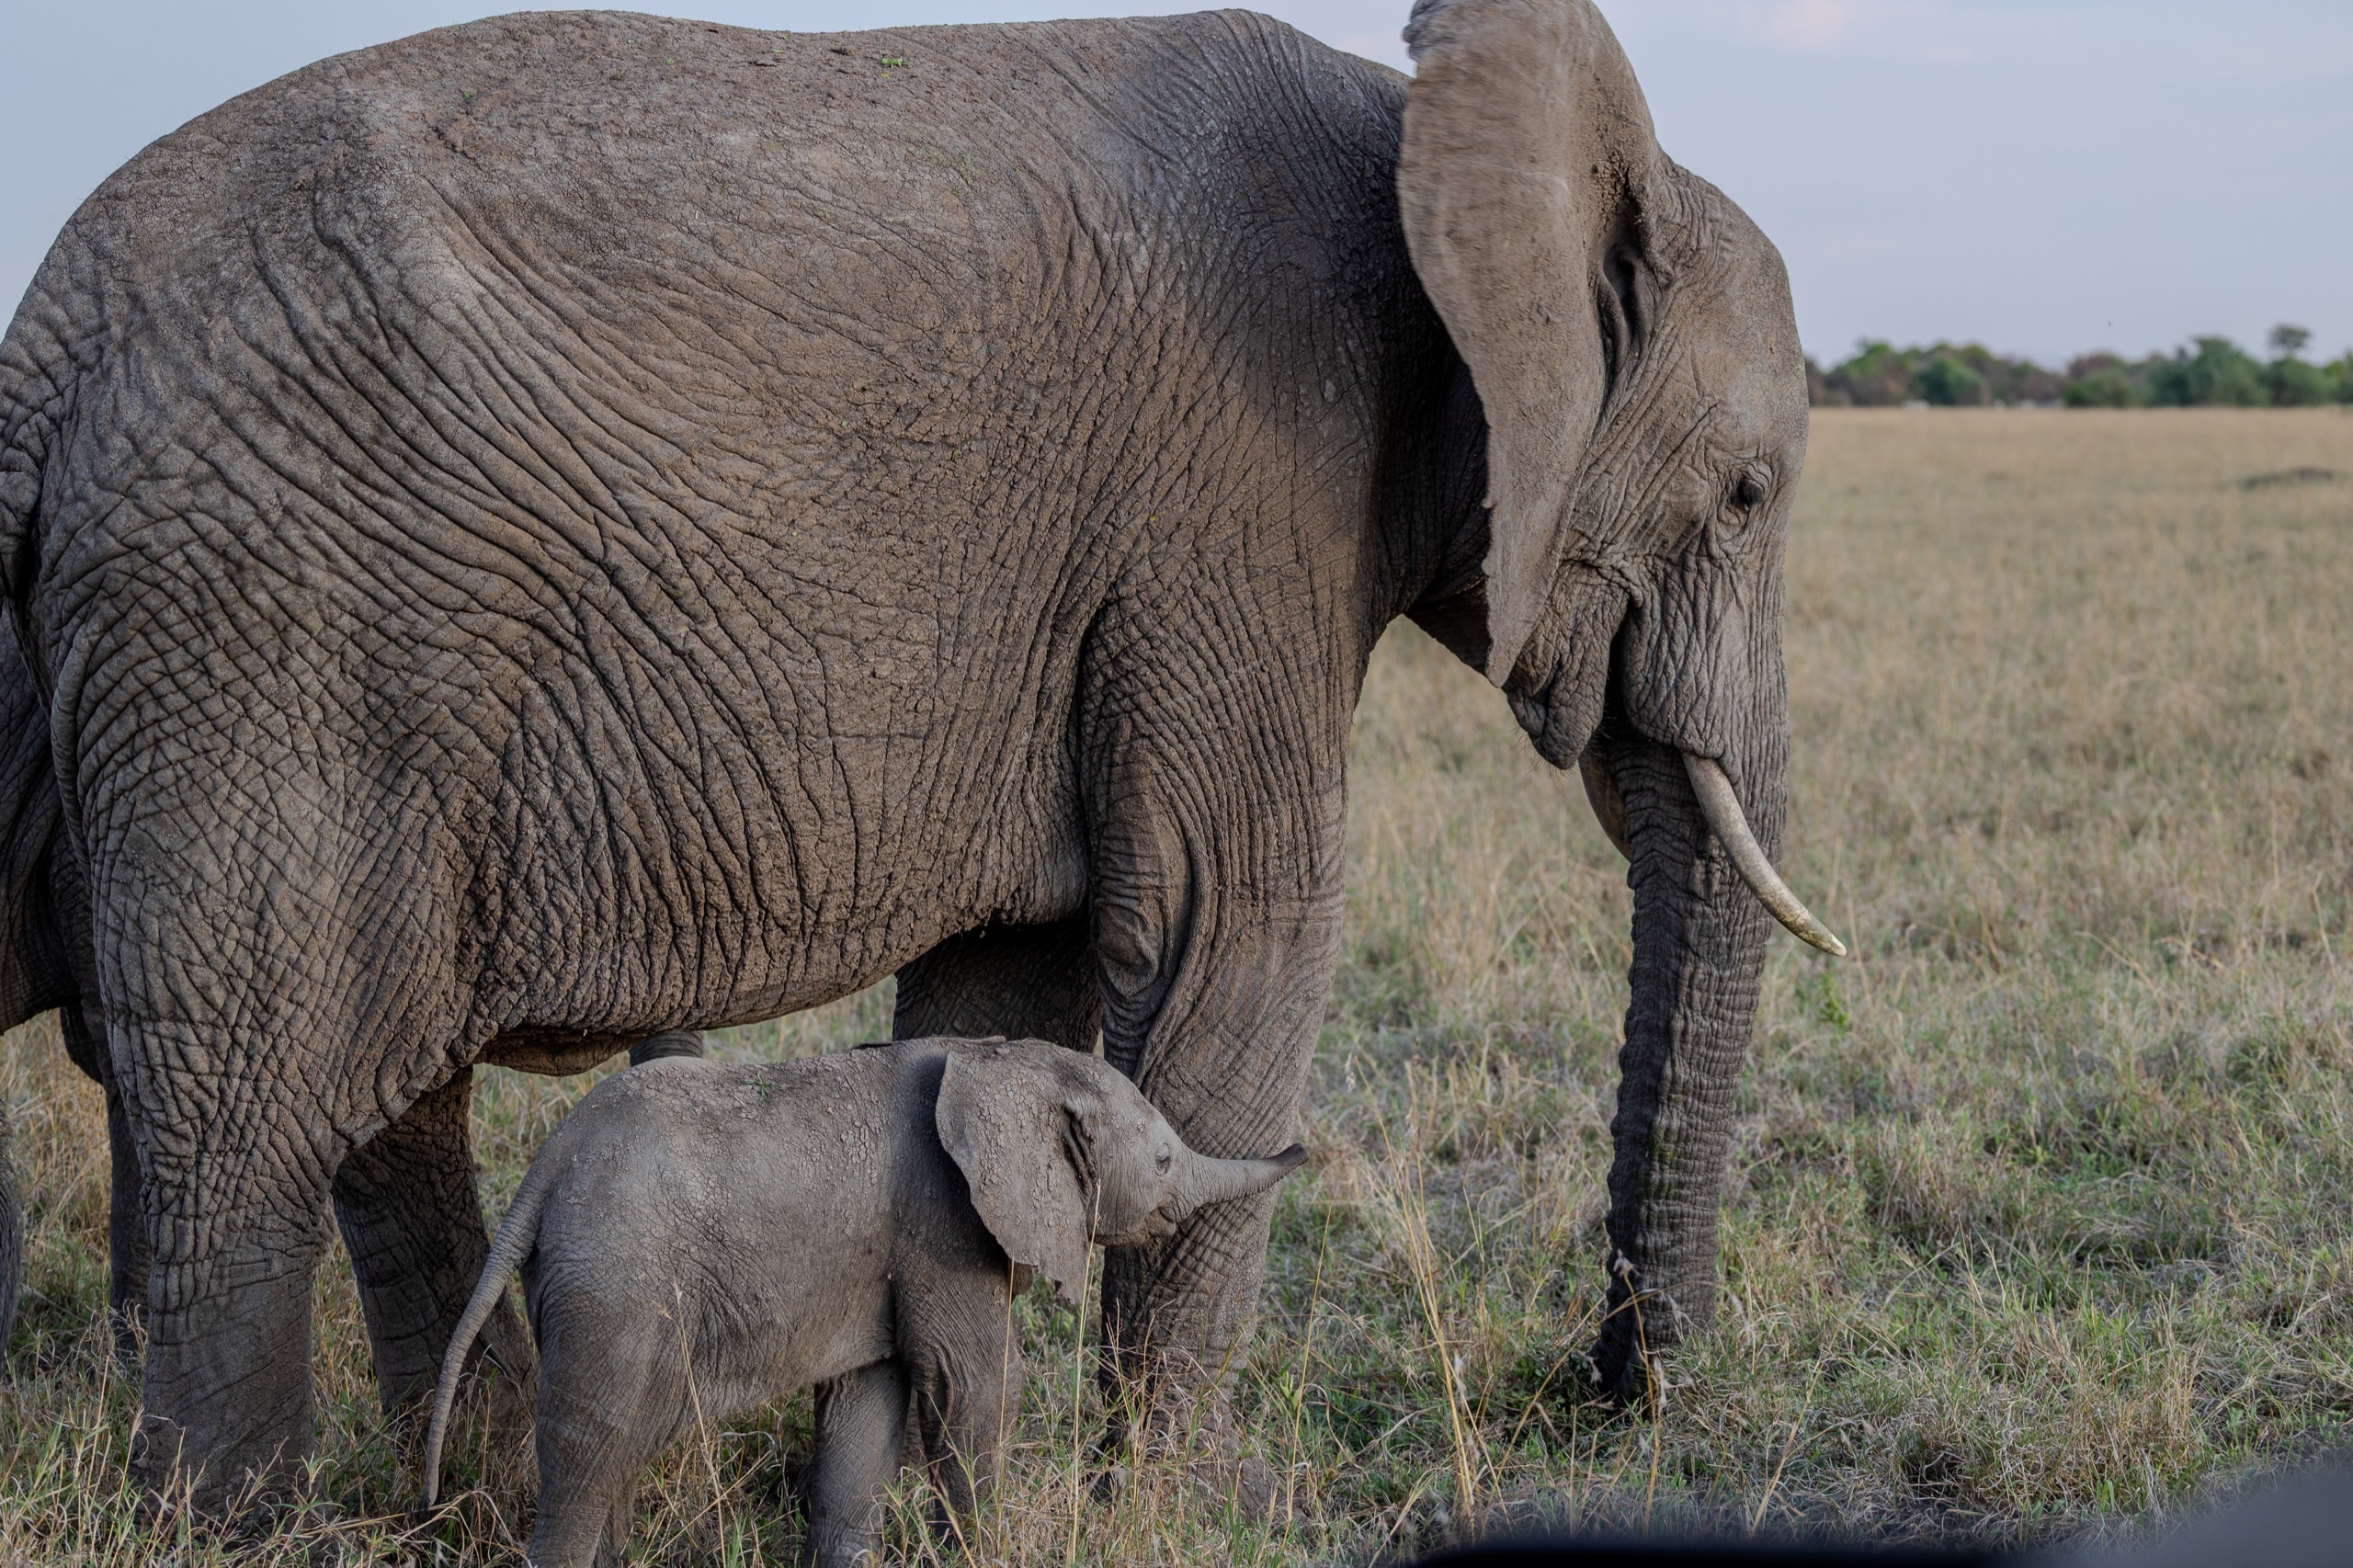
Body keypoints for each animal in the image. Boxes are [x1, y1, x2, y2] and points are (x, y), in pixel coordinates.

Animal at [0, 0, 1840, 1504]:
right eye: (1750, 495)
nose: (1611, 1390)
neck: (1451, 137)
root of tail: (45, 343)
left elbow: (1011, 981)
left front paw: (962, 1488)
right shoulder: (1238, 507)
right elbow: (1235, 948)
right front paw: (1179, 1507)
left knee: (373, 1099)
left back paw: (465, 1495)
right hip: (268, 634)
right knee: (253, 1106)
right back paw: (238, 1525)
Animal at [420, 1037, 1305, 1567]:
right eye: (1163, 1160)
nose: (1301, 1150)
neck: (998, 1061)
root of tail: (546, 1168)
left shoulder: (889, 1259)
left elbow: (866, 1409)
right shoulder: (945, 1228)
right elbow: (970, 1389)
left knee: (622, 1448)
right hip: (612, 1280)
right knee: (590, 1443)